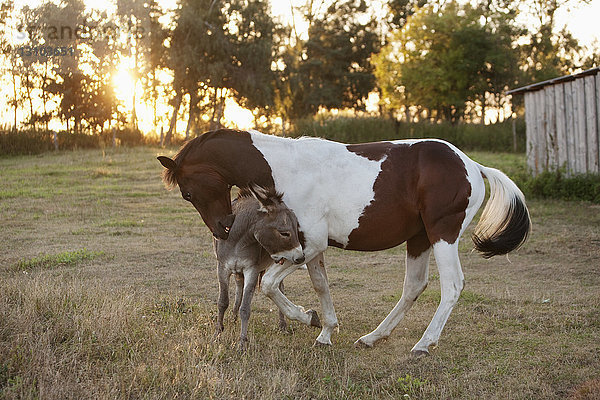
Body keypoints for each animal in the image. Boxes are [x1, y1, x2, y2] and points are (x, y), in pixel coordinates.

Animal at [158, 129, 528, 356]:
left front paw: (308, 318)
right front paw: (325, 331)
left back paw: (423, 344)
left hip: (442, 235)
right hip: (420, 238)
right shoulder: (309, 250)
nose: (223, 229)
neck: (285, 169)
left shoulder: (306, 245)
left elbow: (270, 285)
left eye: (187, 192)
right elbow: (320, 285)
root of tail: (472, 165)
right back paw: (373, 338)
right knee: (413, 286)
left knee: (451, 285)